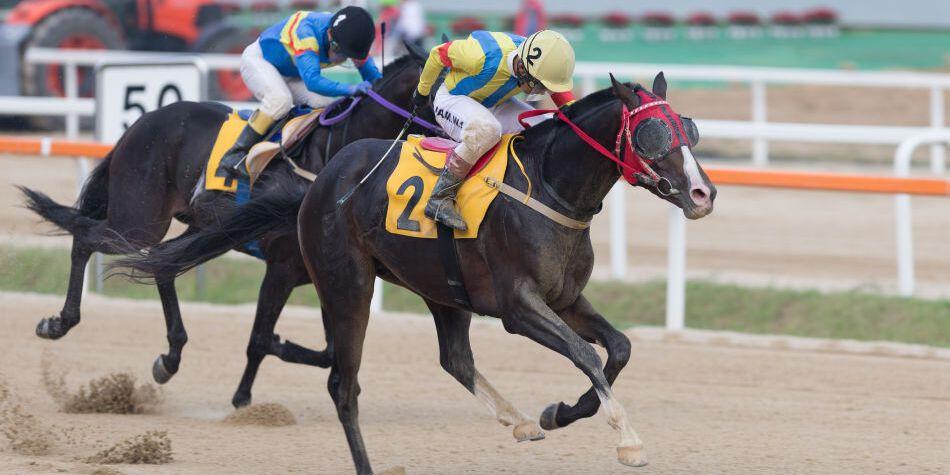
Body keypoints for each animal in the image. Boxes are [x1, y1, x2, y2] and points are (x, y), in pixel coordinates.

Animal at [18, 46, 436, 408]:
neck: (331, 155)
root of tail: (140, 123)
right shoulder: (281, 269)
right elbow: (262, 338)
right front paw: (243, 395)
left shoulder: (324, 273)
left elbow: (328, 349)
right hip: (140, 220)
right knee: (88, 238)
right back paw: (59, 322)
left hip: (201, 226)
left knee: (162, 262)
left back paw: (169, 358)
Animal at [115, 73, 712, 472]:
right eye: (654, 132)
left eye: (689, 128)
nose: (703, 193)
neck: (548, 188)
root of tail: (319, 186)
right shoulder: (519, 306)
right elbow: (586, 354)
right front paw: (626, 439)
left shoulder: (564, 298)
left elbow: (619, 348)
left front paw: (557, 413)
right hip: (347, 285)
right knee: (343, 384)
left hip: (439, 289)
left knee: (454, 358)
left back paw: (519, 421)